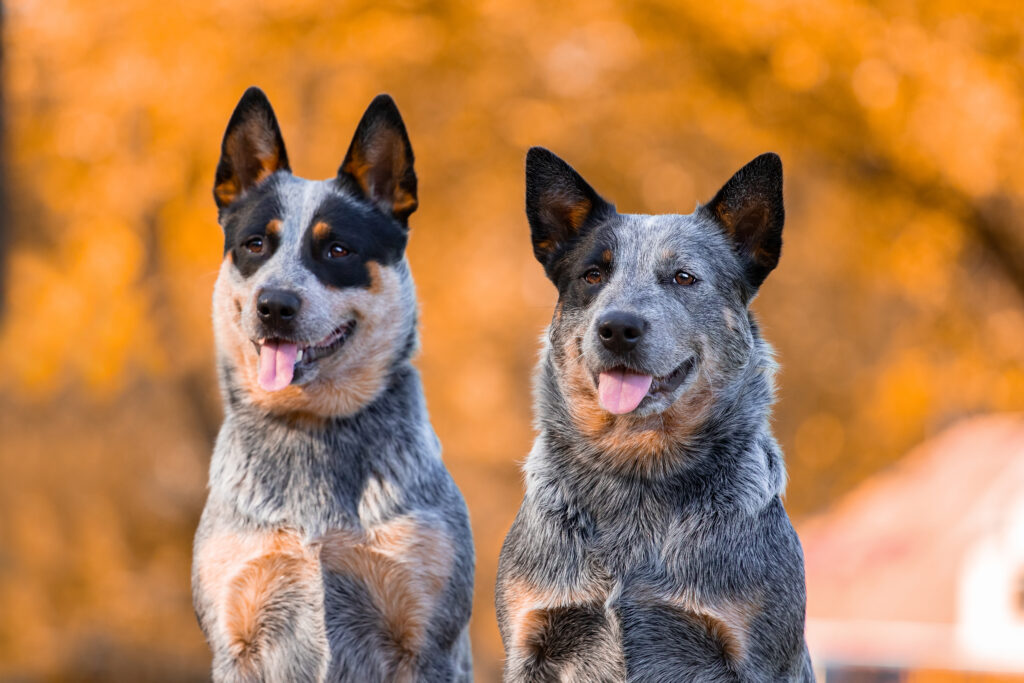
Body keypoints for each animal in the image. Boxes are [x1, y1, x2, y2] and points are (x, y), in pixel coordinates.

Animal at [192, 88, 475, 679]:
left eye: (338, 250)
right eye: (256, 244)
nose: (275, 305)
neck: (312, 427)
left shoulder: (426, 640)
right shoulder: (235, 635)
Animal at [495, 147, 815, 679]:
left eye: (683, 277)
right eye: (593, 275)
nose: (617, 327)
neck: (635, 474)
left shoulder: (756, 655)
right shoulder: (531, 638)